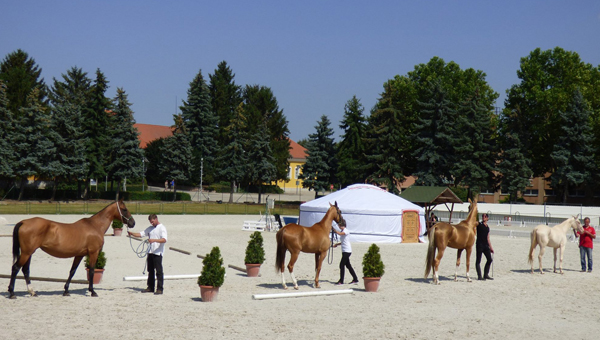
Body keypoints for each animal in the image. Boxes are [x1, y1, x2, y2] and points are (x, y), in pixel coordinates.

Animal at [7, 198, 135, 298]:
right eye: (124, 209)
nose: (133, 223)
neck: (94, 226)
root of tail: (23, 222)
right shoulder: (93, 252)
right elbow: (92, 271)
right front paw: (92, 291)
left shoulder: (79, 254)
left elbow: (72, 271)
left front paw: (66, 291)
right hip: (26, 253)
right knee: (15, 268)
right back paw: (12, 293)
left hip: (29, 253)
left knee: (25, 270)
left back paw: (32, 292)